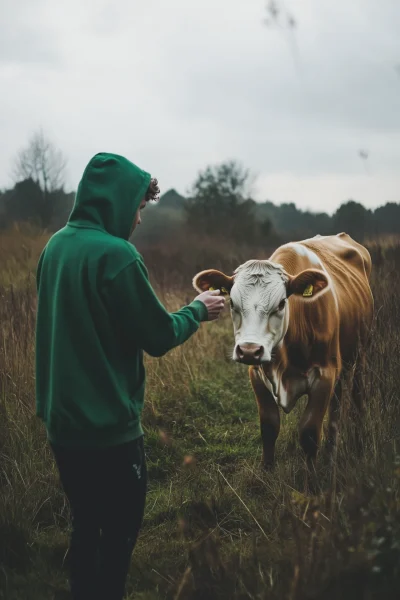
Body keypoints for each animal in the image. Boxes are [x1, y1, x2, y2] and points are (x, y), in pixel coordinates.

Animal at [192, 232, 374, 472]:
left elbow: (309, 434)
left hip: (361, 354)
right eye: (232, 303)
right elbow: (269, 428)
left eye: (280, 303)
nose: (249, 350)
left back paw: (359, 443)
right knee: (336, 407)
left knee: (358, 398)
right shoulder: (257, 374)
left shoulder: (325, 374)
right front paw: (267, 471)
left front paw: (311, 478)